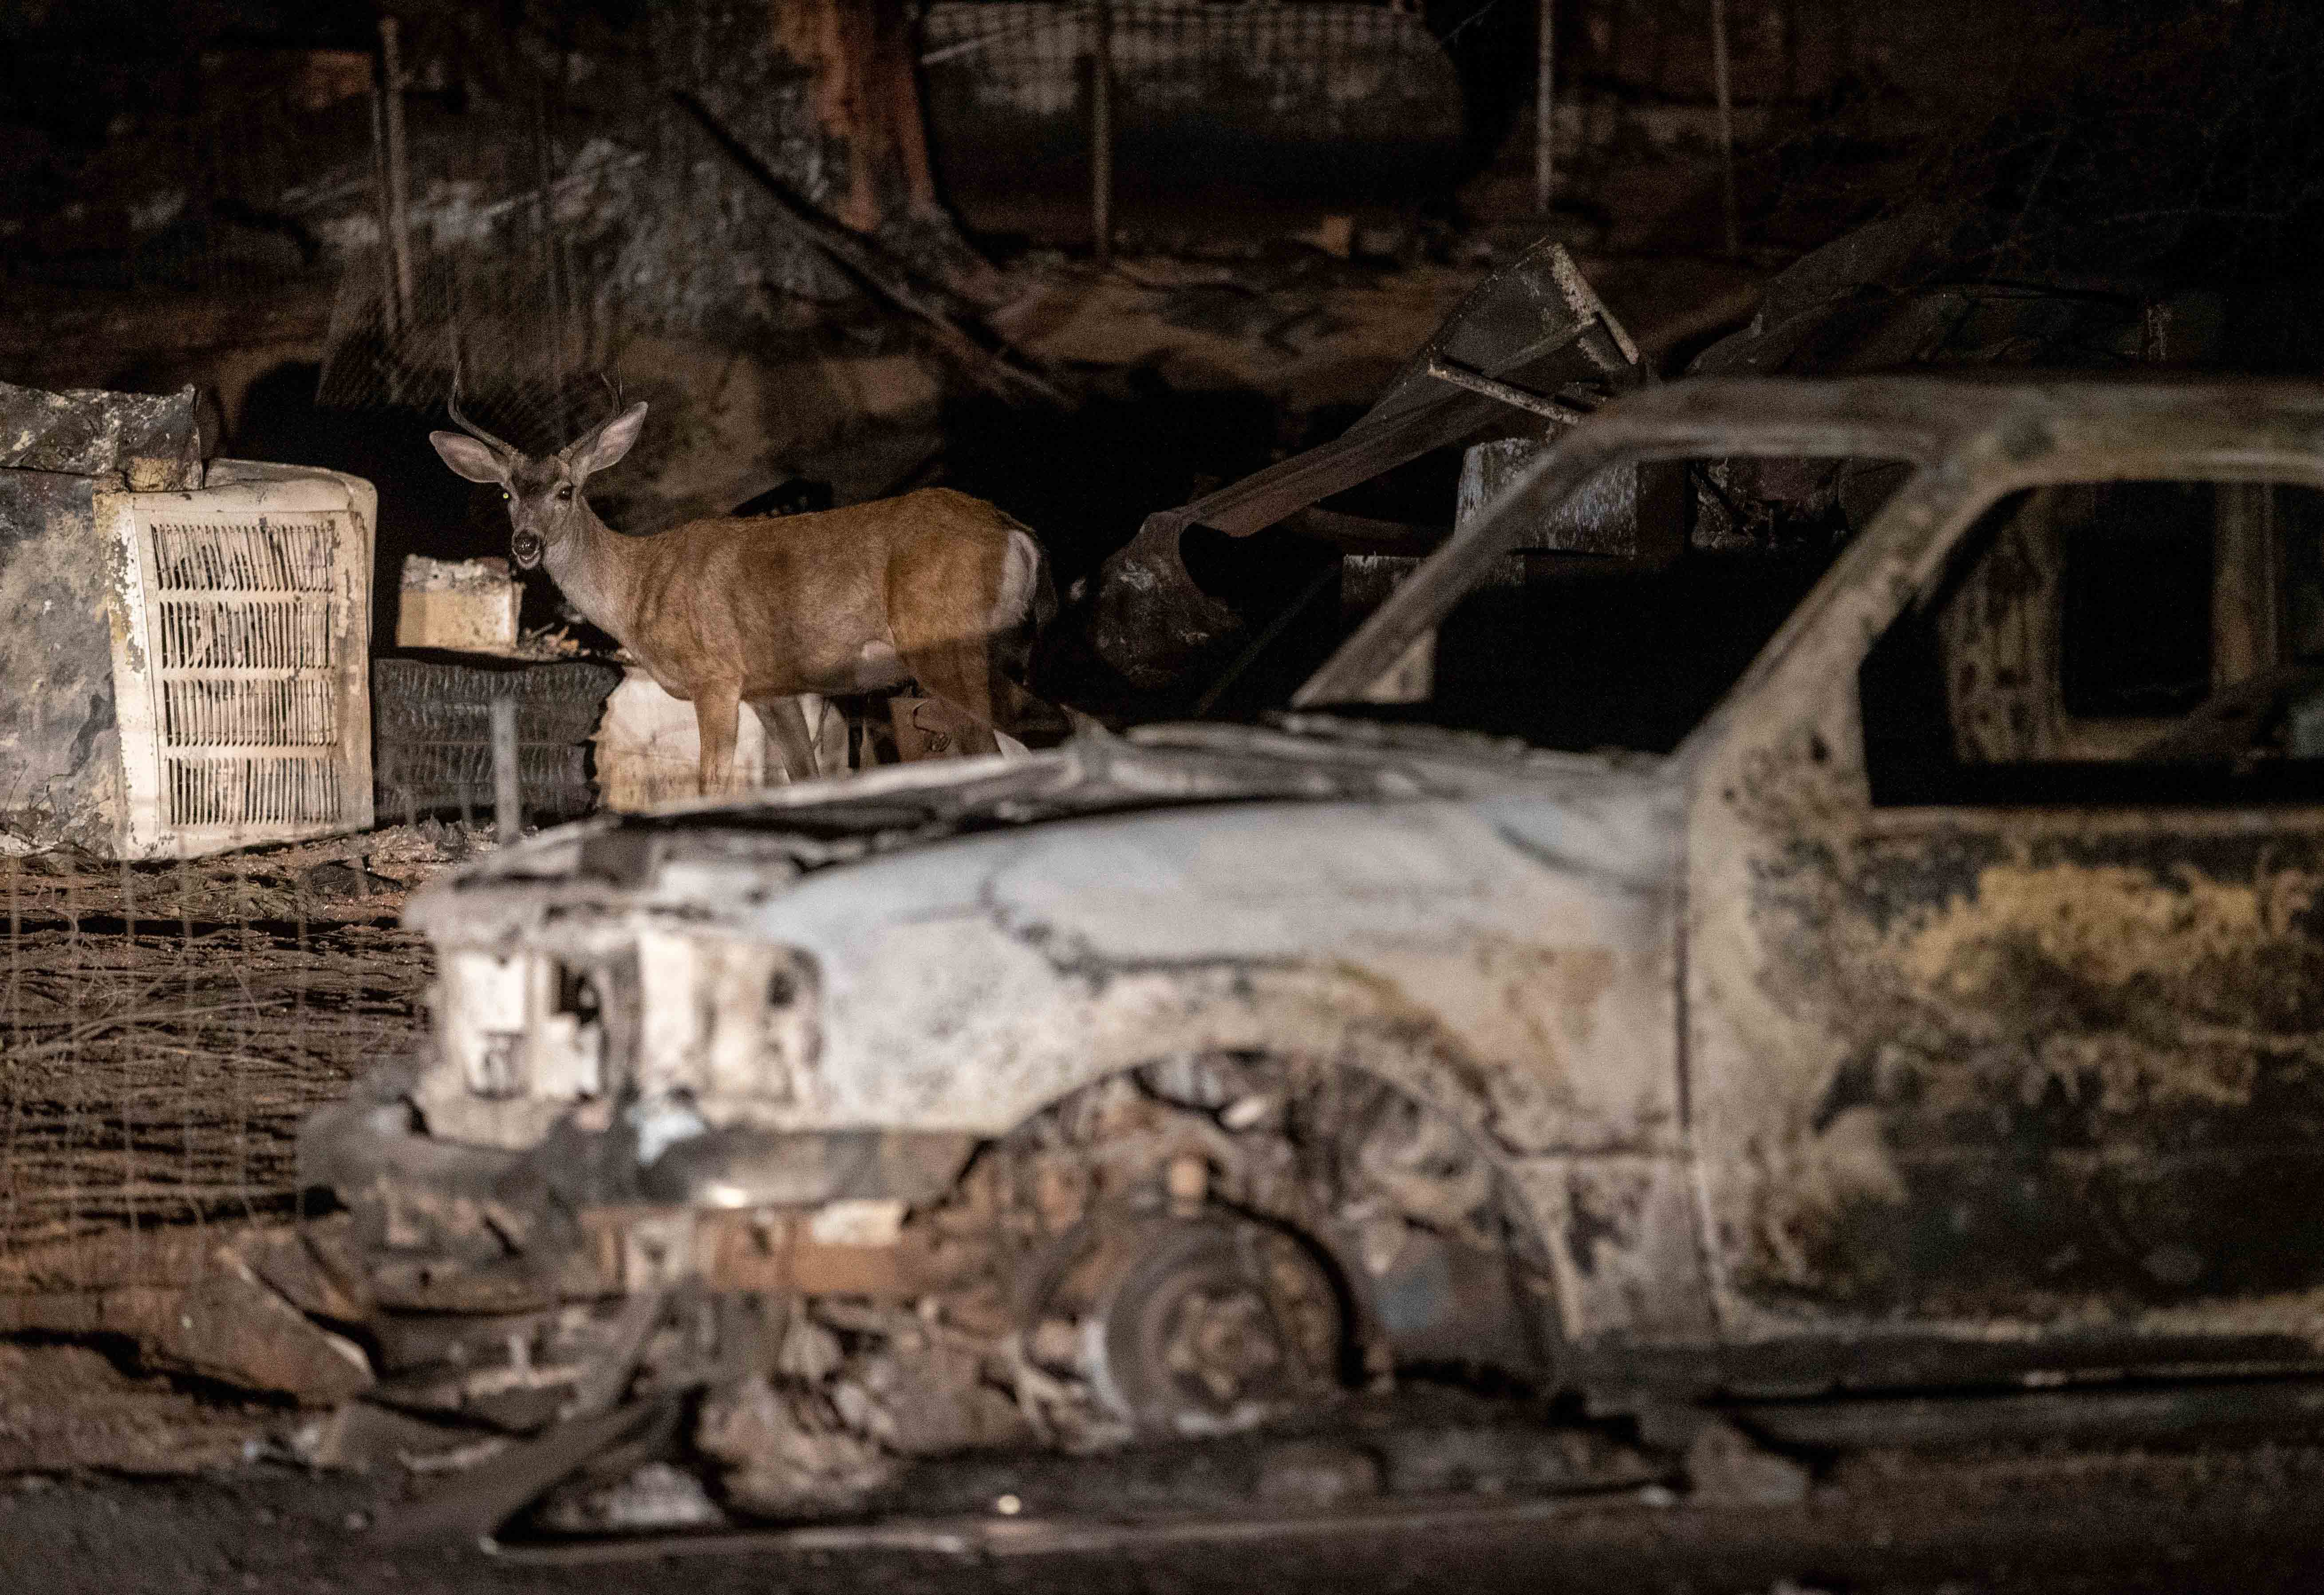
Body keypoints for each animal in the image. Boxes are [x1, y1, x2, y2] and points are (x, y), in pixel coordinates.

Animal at [430, 381, 1055, 795]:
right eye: (507, 494)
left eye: (566, 491)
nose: (526, 545)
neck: (637, 587)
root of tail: (1016, 535)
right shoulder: (768, 689)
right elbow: (803, 777)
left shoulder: (716, 675)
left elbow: (711, 785)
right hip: (997, 648)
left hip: (944, 641)